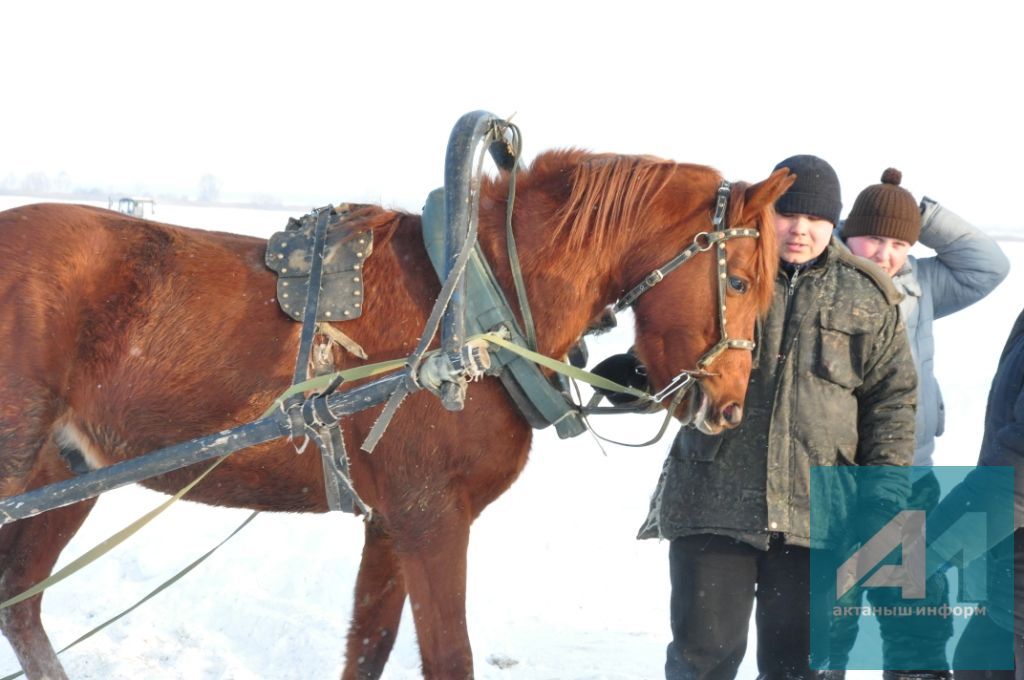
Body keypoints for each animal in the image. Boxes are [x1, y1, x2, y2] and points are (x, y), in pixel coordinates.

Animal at [0, 150, 790, 680]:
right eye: (739, 281)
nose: (727, 408)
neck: (470, 311)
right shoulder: (430, 518)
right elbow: (448, 656)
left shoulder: (388, 525)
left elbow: (369, 649)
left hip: (68, 472)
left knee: (20, 604)